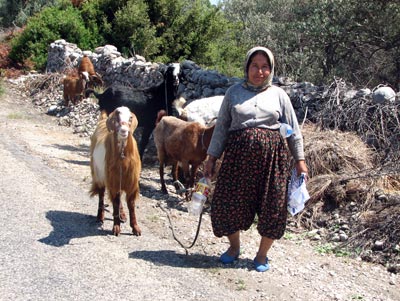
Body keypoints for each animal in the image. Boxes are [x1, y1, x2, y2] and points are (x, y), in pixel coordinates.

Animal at [90, 106, 142, 236]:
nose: (124, 131)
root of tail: (102, 121)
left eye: (130, 117)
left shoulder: (131, 182)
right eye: (116, 118)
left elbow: (131, 205)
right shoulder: (112, 180)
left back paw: (122, 215)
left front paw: (136, 228)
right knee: (102, 194)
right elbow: (115, 202)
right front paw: (116, 227)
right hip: (98, 174)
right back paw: (100, 216)